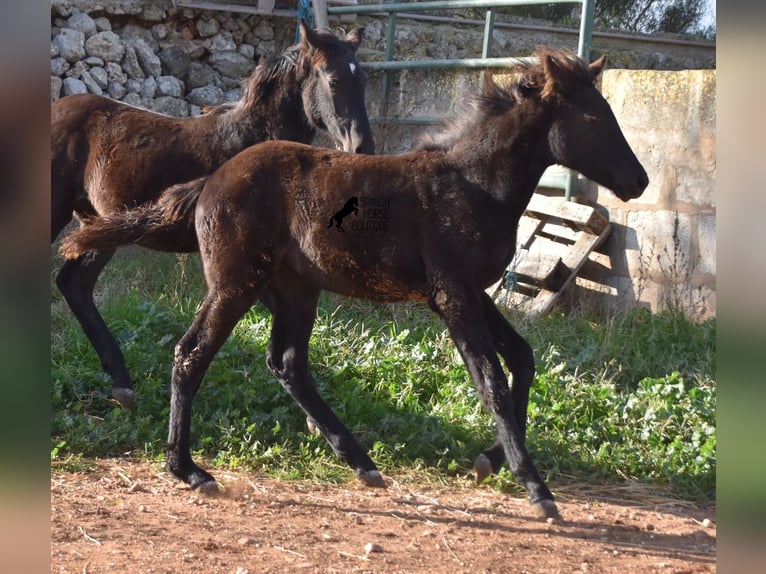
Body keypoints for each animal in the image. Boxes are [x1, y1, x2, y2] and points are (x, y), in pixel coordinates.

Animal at [50, 21, 376, 410]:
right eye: (334, 80)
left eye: (363, 80)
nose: (363, 147)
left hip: (98, 225)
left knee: (74, 284)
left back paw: (122, 385)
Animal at [64, 47, 648, 520]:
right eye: (594, 115)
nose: (639, 181)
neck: (471, 184)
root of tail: (212, 179)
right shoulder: (454, 296)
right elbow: (492, 382)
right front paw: (537, 490)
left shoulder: (473, 293)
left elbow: (522, 359)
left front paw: (489, 461)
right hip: (236, 282)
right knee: (192, 353)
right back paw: (188, 469)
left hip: (294, 289)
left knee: (287, 363)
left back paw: (361, 462)